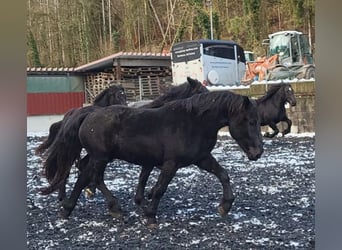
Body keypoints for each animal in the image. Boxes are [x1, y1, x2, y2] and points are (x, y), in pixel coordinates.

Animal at [41, 89, 264, 228]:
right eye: (251, 121)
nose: (258, 153)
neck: (194, 122)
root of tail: (88, 114)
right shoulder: (171, 163)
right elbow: (159, 189)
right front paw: (150, 217)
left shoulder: (201, 158)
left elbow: (223, 174)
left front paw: (225, 206)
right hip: (100, 156)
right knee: (85, 177)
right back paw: (70, 209)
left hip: (100, 157)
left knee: (90, 175)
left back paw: (110, 208)